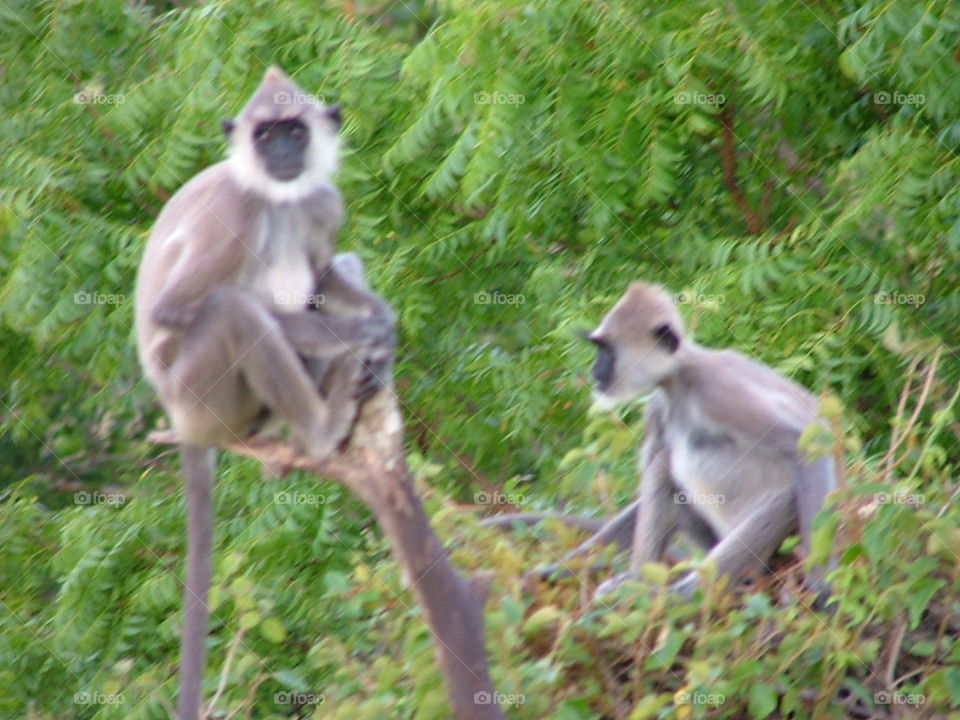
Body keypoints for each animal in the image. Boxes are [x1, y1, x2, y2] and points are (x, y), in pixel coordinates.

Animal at [134, 67, 394, 720]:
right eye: (265, 133)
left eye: (294, 131)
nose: (280, 153)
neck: (279, 198)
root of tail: (178, 420)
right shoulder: (237, 207)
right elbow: (174, 310)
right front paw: (367, 332)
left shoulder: (323, 201)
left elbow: (325, 272)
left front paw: (382, 322)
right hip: (200, 397)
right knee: (233, 308)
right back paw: (322, 430)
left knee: (335, 267)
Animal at [515, 282, 836, 601]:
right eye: (599, 349)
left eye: (607, 350)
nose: (595, 370)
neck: (679, 379)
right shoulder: (658, 408)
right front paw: (558, 569)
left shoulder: (717, 391)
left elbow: (807, 443)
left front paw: (821, 583)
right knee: (664, 465)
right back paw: (639, 582)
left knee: (784, 499)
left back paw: (684, 594)